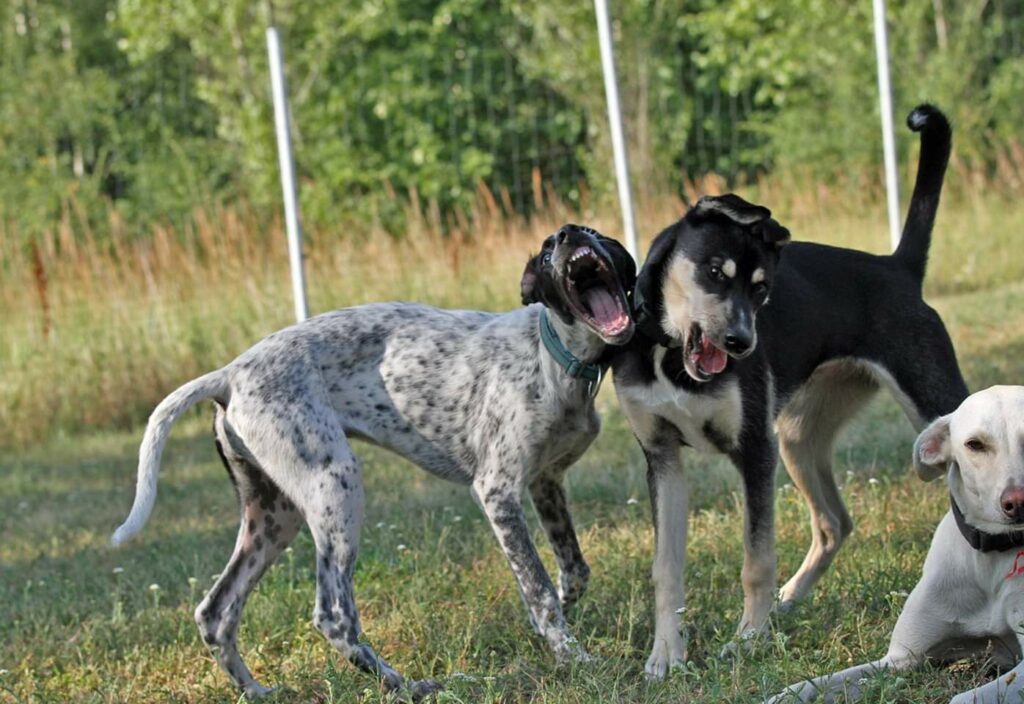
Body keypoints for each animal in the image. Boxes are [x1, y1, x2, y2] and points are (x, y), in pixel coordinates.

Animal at [105, 225, 630, 699]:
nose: (567, 234)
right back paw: (406, 685)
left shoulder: (546, 482)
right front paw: (573, 657)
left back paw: (257, 691)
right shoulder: (497, 490)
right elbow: (539, 587)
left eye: (593, 230)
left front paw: (555, 628)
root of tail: (229, 374)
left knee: (215, 612)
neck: (554, 358)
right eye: (545, 249)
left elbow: (573, 571)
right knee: (333, 616)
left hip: (274, 516)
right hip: (336, 487)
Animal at [606, 105, 966, 675]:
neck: (671, 356)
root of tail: (898, 267)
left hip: (931, 407)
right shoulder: (662, 459)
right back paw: (789, 601)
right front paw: (667, 654)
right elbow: (666, 570)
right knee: (835, 523)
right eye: (715, 272)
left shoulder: (755, 449)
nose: (742, 343)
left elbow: (757, 558)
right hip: (798, 436)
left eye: (762, 289)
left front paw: (748, 640)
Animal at [770, 384, 1024, 704]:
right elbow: (822, 682)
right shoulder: (900, 659)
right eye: (975, 444)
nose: (1017, 503)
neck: (988, 556)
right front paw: (787, 693)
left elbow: (961, 698)